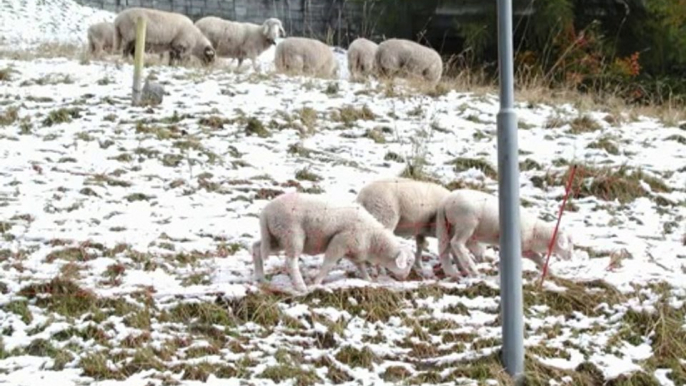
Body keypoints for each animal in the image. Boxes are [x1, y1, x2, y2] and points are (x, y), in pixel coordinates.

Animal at [251, 193, 414, 292]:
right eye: (408, 262)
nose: (406, 277)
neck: (373, 239)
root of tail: (266, 212)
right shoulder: (340, 242)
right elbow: (328, 264)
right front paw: (316, 282)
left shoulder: (354, 250)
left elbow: (361, 266)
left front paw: (368, 280)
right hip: (291, 234)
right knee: (290, 261)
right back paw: (301, 286)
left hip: (276, 237)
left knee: (257, 247)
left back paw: (261, 278)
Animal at [438, 189, 576, 278]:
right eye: (569, 242)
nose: (570, 256)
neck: (536, 232)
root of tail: (446, 201)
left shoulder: (526, 250)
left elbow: (539, 259)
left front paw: (552, 274)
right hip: (466, 222)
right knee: (457, 243)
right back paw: (473, 269)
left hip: (450, 226)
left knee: (448, 247)